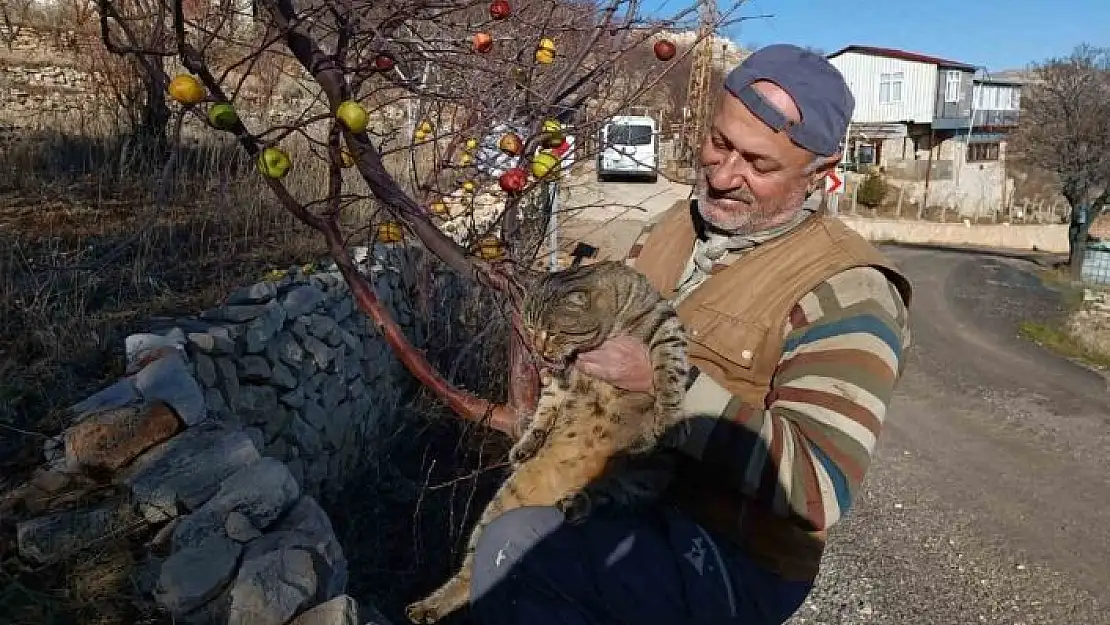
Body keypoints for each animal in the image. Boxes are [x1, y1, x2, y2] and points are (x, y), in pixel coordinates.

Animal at [404, 261, 688, 621]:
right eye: (529, 329)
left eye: (552, 333)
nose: (538, 350)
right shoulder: (557, 376)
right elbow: (546, 406)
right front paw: (528, 442)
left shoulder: (665, 323)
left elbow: (669, 366)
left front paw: (671, 413)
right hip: (500, 507)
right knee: (472, 573)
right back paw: (429, 606)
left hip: (642, 480)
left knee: (606, 495)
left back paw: (577, 501)